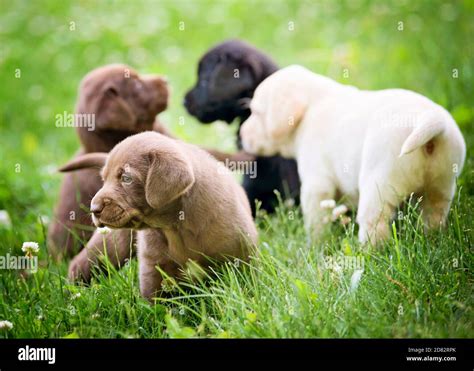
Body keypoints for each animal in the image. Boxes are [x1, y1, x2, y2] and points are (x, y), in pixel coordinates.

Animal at [62, 132, 260, 300]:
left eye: (126, 178)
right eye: (104, 180)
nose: (93, 208)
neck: (176, 226)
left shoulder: (242, 255)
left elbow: (246, 284)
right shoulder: (154, 265)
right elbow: (155, 301)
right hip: (111, 245)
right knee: (81, 263)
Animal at [243, 66, 464, 247]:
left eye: (256, 113)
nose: (242, 134)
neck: (311, 108)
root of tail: (429, 119)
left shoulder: (317, 183)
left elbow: (316, 220)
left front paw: (315, 244)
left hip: (378, 185)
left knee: (375, 224)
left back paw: (370, 253)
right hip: (441, 187)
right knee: (434, 215)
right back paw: (432, 240)